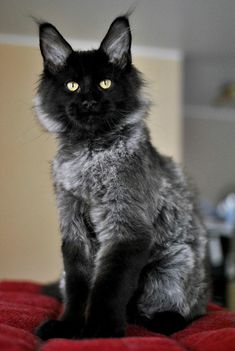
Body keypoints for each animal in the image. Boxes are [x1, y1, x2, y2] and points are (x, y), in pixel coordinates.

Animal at [34, 15, 210, 340]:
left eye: (105, 83)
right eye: (72, 86)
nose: (89, 102)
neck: (90, 156)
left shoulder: (125, 228)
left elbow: (108, 288)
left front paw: (98, 330)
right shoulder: (73, 230)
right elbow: (79, 291)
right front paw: (68, 327)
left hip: (173, 266)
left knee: (182, 315)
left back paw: (152, 322)